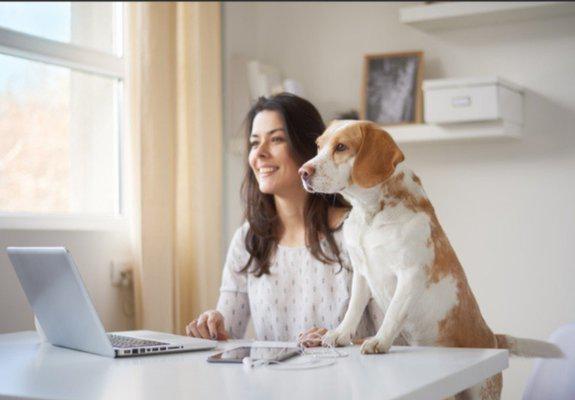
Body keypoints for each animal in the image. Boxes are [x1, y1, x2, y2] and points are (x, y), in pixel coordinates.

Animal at [300, 121, 560, 400]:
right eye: (318, 146)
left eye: (341, 147)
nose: (302, 172)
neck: (371, 214)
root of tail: (492, 339)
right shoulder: (361, 272)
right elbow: (353, 310)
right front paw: (340, 335)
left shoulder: (410, 273)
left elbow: (393, 313)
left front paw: (379, 342)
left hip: (481, 392)